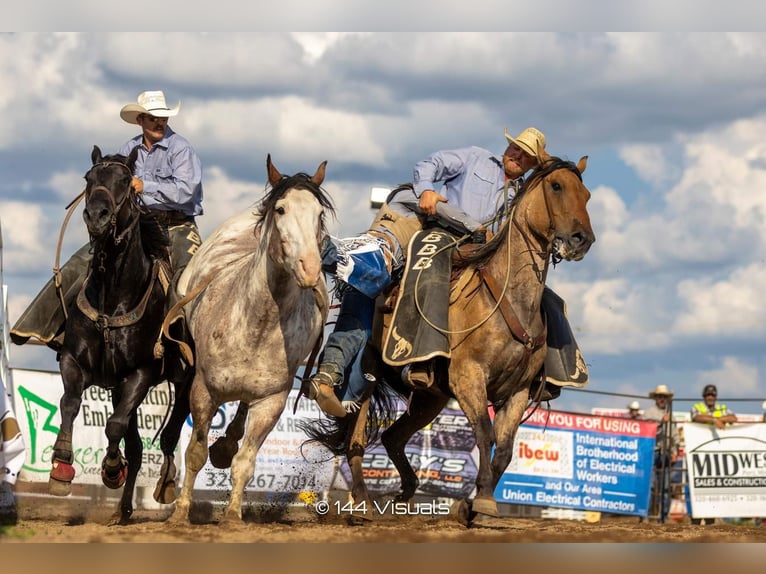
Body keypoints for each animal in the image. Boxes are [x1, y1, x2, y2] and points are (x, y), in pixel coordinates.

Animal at [48, 145, 192, 528]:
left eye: (126, 180)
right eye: (89, 178)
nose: (97, 216)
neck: (113, 295)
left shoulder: (140, 373)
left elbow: (113, 428)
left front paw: (112, 470)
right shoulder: (74, 361)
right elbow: (70, 403)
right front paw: (61, 466)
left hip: (185, 380)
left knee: (170, 434)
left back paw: (165, 485)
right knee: (139, 446)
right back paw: (123, 510)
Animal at [166, 155, 334, 524]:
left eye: (319, 214)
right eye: (281, 209)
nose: (310, 268)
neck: (258, 323)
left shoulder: (271, 401)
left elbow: (245, 461)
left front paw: (232, 514)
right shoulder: (203, 390)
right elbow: (195, 452)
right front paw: (180, 512)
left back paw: (227, 445)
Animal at [304, 152, 596, 528]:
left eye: (586, 195)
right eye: (557, 186)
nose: (581, 239)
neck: (505, 296)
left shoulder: (518, 391)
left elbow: (505, 448)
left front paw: (474, 504)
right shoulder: (469, 377)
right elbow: (484, 433)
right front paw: (483, 502)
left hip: (432, 397)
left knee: (392, 436)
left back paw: (403, 495)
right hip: (368, 375)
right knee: (355, 438)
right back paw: (364, 502)